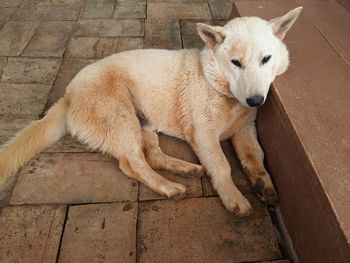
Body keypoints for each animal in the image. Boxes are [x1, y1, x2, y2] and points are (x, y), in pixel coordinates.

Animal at [0, 7, 300, 216]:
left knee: (152, 155)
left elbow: (255, 157)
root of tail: (67, 96)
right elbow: (222, 166)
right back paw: (169, 187)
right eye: (235, 62)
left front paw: (263, 184)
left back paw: (186, 169)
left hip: (143, 122)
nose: (256, 100)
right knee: (132, 162)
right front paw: (233, 198)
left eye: (266, 59)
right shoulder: (203, 134)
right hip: (122, 119)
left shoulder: (245, 129)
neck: (218, 84)